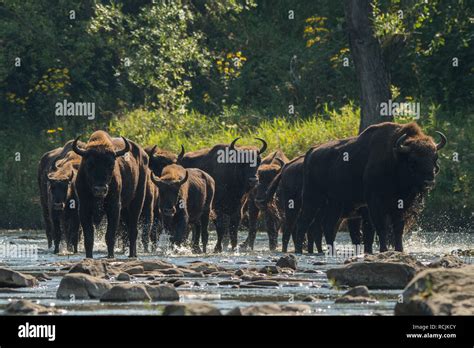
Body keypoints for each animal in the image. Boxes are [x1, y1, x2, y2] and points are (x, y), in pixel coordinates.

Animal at [72, 130, 148, 258]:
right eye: (89, 164)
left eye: (111, 165)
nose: (100, 189)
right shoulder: (84, 208)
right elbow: (89, 237)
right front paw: (89, 256)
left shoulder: (114, 207)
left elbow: (110, 235)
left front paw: (110, 256)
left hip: (137, 201)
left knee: (133, 230)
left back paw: (132, 255)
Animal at [294, 121, 446, 253]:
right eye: (413, 161)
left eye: (435, 158)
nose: (429, 181)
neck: (395, 158)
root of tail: (311, 152)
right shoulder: (375, 203)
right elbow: (380, 227)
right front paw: (384, 249)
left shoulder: (400, 205)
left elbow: (398, 228)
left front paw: (399, 250)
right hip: (312, 199)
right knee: (303, 223)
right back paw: (299, 251)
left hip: (335, 204)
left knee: (328, 225)